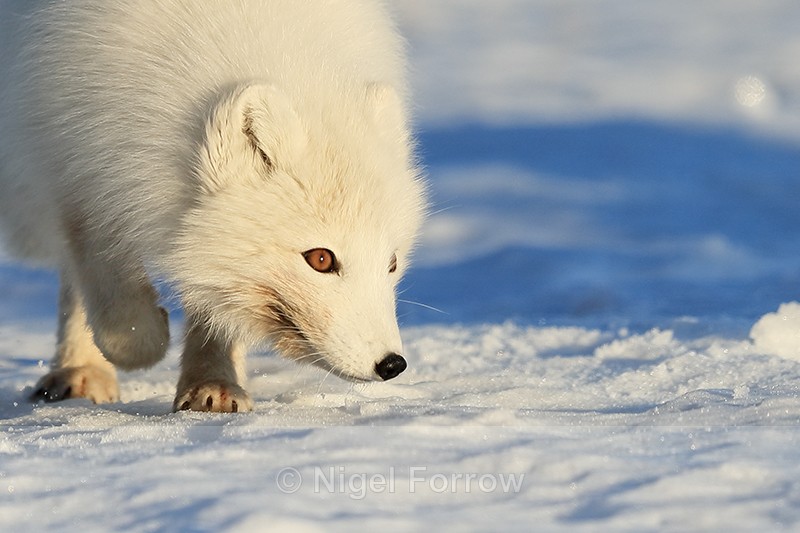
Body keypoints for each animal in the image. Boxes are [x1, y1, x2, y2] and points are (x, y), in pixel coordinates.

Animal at [0, 0, 426, 412]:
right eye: (320, 259)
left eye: (392, 263)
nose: (392, 364)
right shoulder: (80, 169)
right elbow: (106, 281)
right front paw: (144, 339)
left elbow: (217, 304)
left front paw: (213, 385)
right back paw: (80, 370)